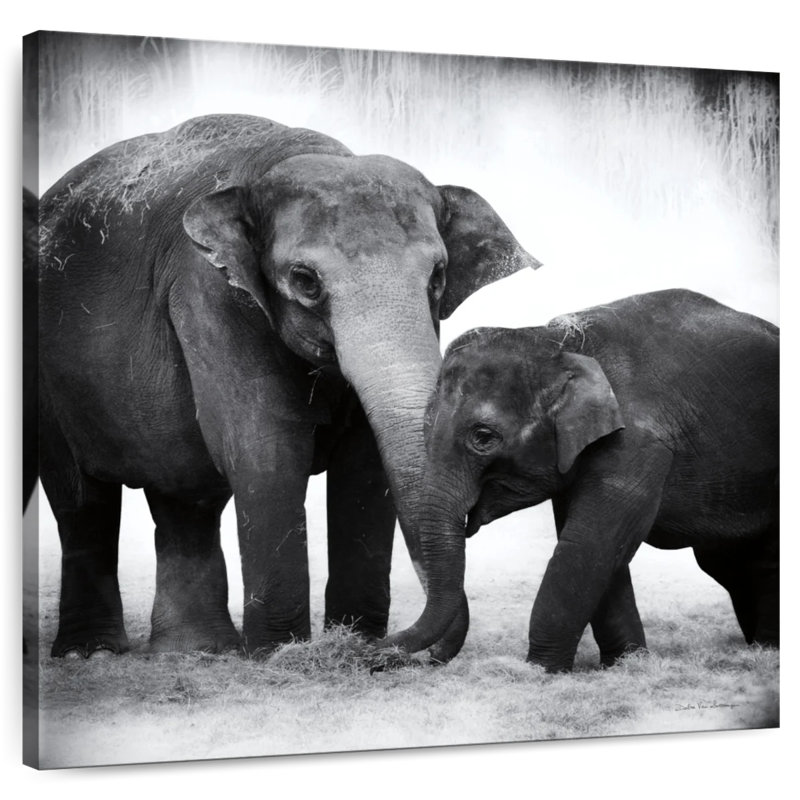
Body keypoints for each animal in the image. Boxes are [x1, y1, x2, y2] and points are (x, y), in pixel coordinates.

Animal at [37, 114, 539, 659]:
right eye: (305, 280)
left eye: (438, 276)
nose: (390, 650)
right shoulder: (210, 291)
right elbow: (266, 450)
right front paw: (281, 654)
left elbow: (365, 464)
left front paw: (352, 641)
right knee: (82, 502)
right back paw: (92, 651)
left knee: (184, 498)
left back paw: (196, 651)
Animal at [382, 289, 778, 672]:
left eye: (483, 437)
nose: (377, 655)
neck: (559, 343)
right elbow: (598, 551)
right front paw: (624, 664)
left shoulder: (635, 443)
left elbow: (587, 544)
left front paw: (540, 670)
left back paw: (766, 651)